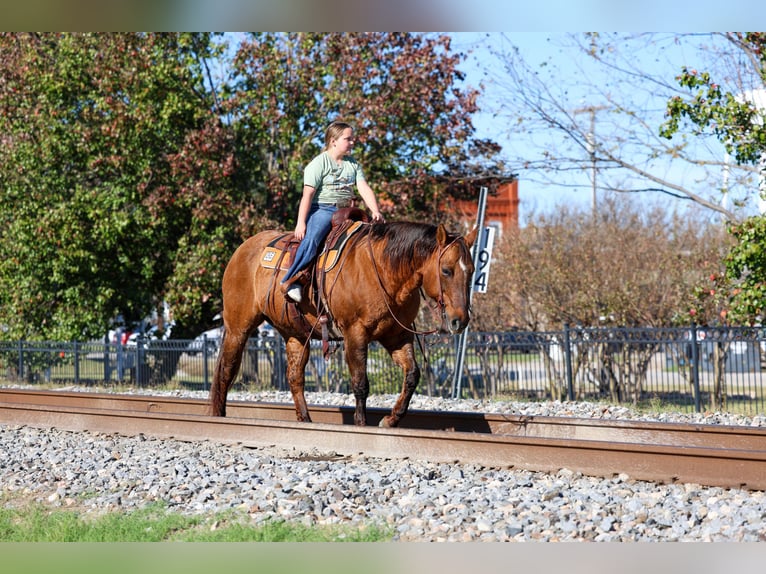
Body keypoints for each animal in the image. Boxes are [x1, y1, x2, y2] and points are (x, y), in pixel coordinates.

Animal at [208, 218, 478, 428]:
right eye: (446, 270)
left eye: (472, 271)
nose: (460, 320)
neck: (384, 271)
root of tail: (243, 249)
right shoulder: (355, 333)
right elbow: (360, 383)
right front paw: (361, 424)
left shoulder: (397, 336)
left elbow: (412, 375)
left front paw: (390, 420)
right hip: (238, 328)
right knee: (226, 370)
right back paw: (217, 415)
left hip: (295, 334)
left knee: (294, 376)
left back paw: (305, 420)